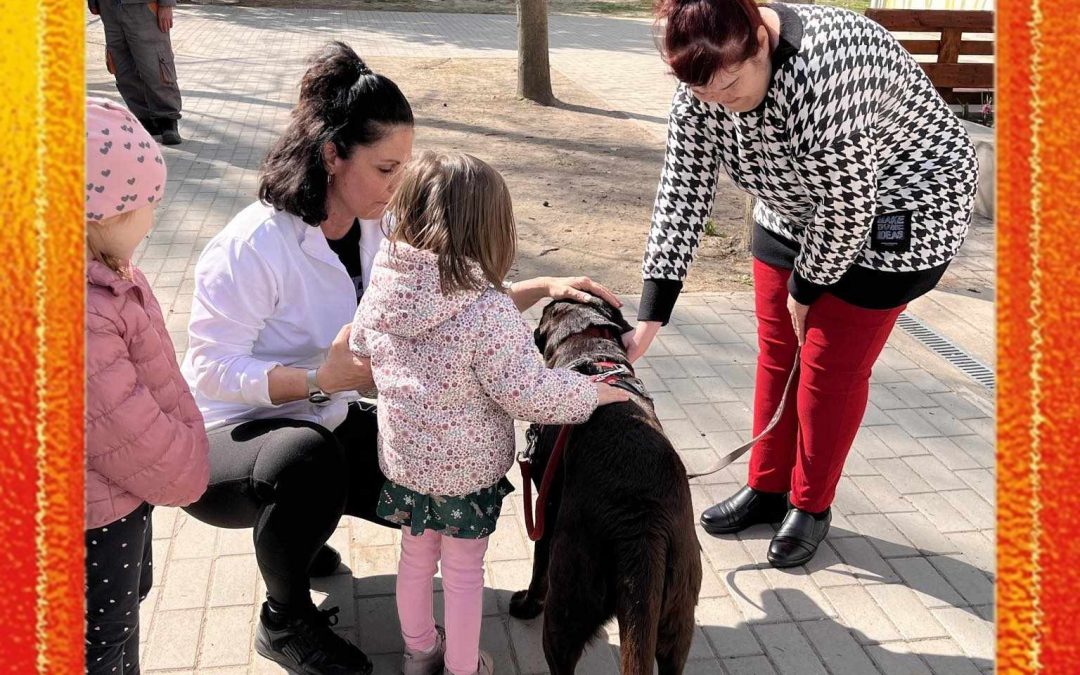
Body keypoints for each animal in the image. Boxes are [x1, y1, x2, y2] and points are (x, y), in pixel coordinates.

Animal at [509, 298, 704, 673]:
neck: (593, 355)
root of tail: (643, 527)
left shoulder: (547, 512)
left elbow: (538, 569)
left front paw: (526, 604)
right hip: (678, 616)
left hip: (568, 598)